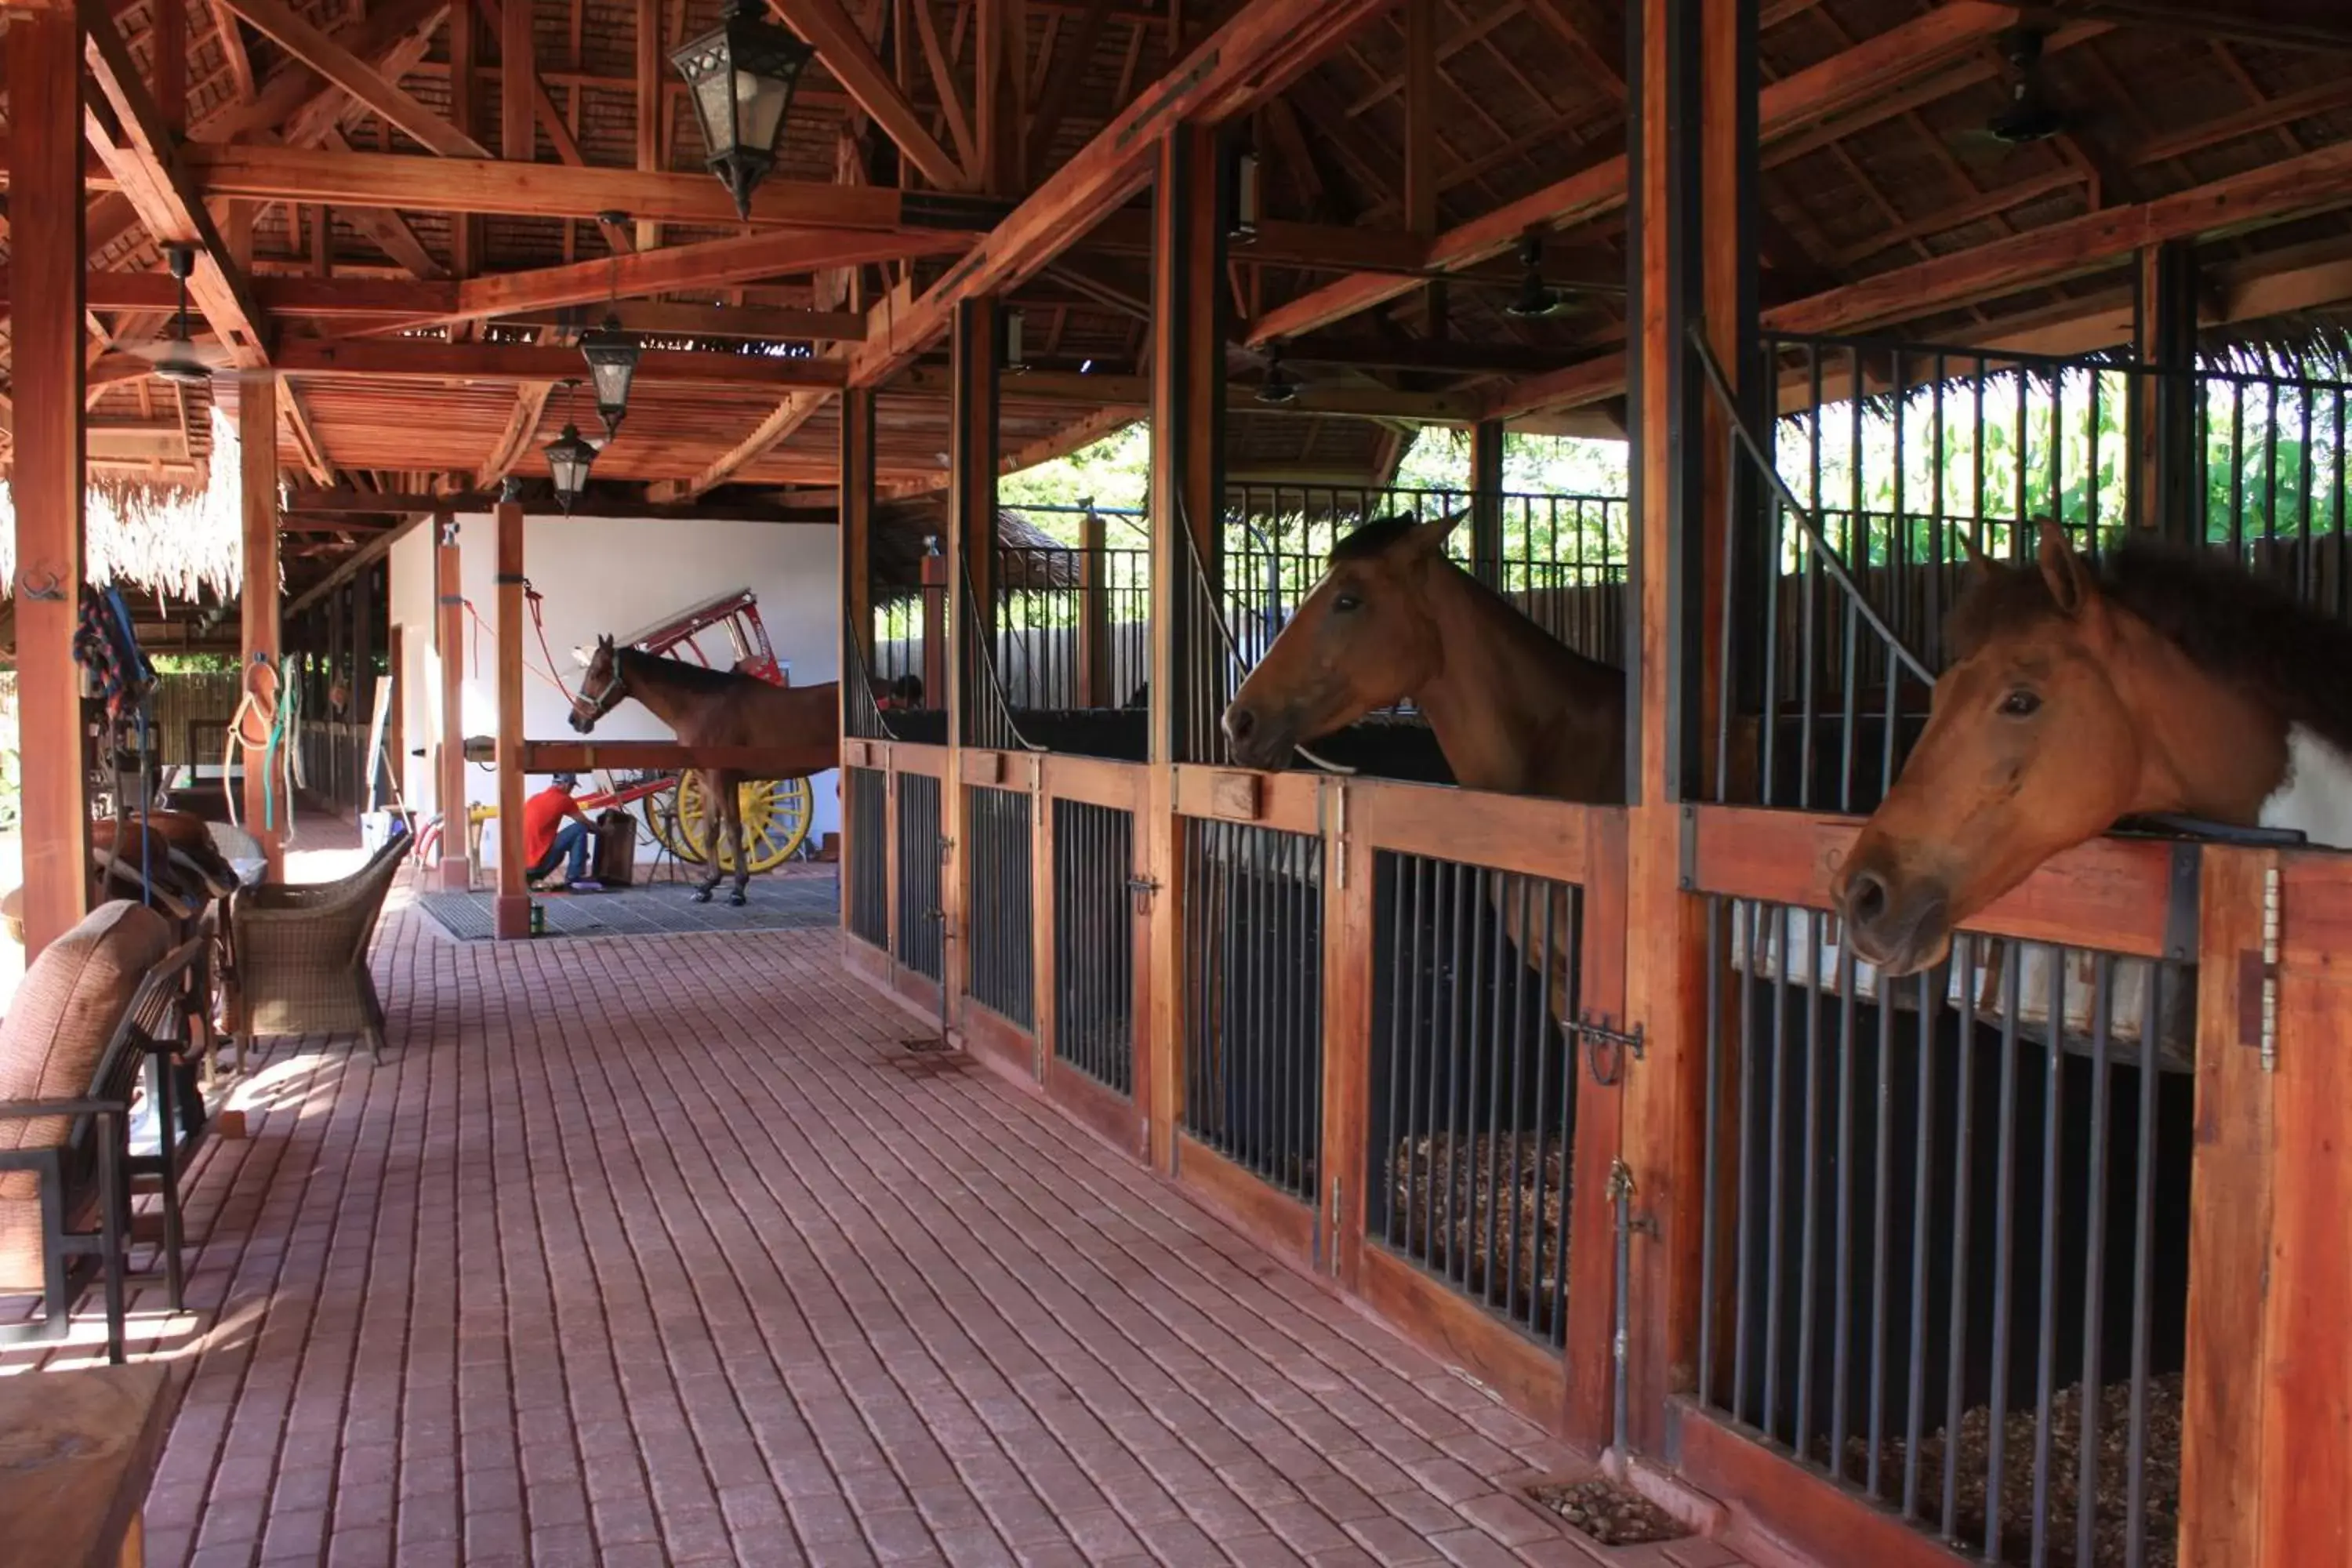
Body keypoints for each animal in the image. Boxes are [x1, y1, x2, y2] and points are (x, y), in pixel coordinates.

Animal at [567, 639, 842, 907]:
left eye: (597, 673)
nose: (575, 720)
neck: (702, 707)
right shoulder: (705, 781)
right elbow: (711, 831)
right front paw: (708, 885)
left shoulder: (723, 778)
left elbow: (733, 829)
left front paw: (738, 889)